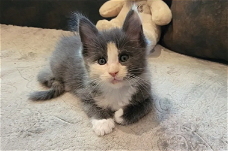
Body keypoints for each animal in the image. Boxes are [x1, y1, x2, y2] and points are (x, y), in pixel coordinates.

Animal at [29, 7, 152, 136]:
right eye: (101, 61)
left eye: (124, 58)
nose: (113, 72)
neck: (115, 90)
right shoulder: (85, 92)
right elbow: (91, 106)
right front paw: (103, 122)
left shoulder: (146, 92)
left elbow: (145, 106)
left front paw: (121, 115)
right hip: (57, 67)